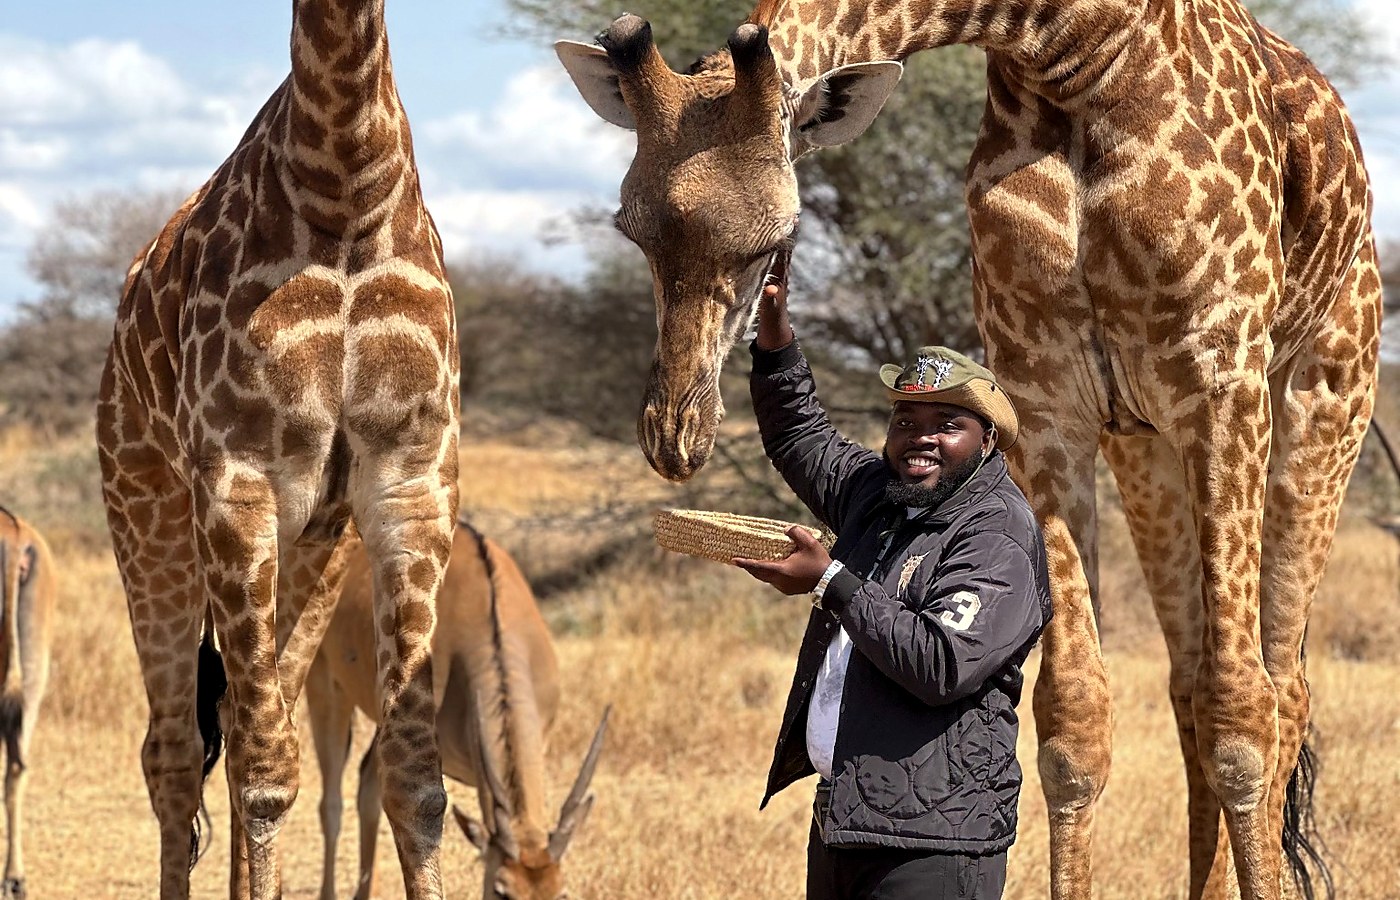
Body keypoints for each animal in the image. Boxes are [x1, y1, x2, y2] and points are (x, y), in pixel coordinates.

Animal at [96, 1, 459, 897]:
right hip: (146, 509)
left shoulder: (412, 478)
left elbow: (414, 778)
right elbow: (265, 774)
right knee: (176, 750)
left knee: (241, 717)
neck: (346, 182)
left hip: (319, 545)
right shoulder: (238, 477)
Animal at [555, 1, 1382, 898]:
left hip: (1321, 407)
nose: (674, 434)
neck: (1072, 56)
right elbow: (1073, 721)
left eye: (777, 234)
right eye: (630, 228)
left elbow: (1243, 718)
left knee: (1280, 691)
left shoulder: (1220, 376)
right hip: (1149, 453)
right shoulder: (1047, 398)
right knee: (1188, 683)